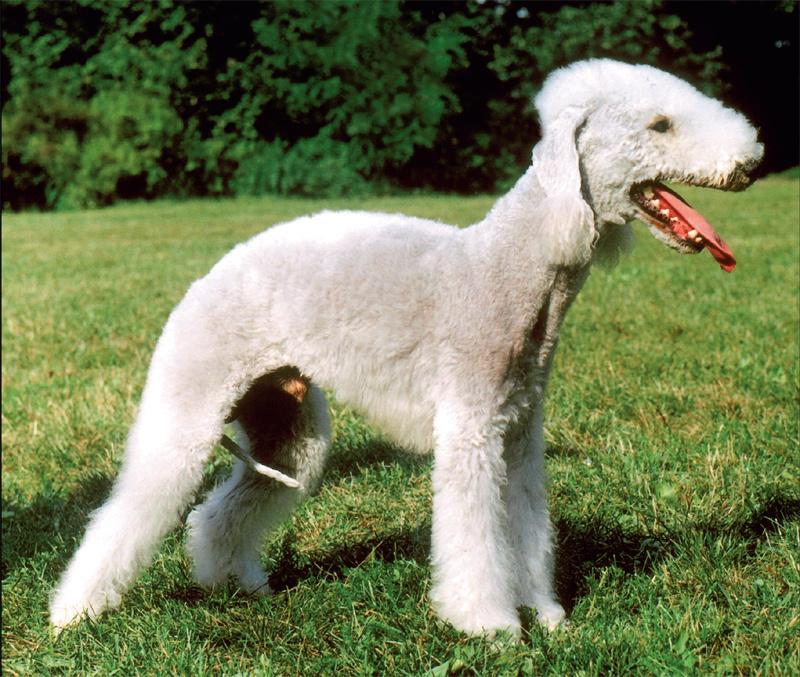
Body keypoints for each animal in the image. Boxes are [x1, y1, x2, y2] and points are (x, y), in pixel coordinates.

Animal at [50, 60, 764, 636]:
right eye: (660, 124)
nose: (752, 163)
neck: (513, 265)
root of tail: (209, 277)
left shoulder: (518, 435)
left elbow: (528, 528)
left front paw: (548, 615)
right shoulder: (471, 432)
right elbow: (475, 538)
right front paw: (491, 626)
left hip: (288, 426)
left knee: (219, 513)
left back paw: (236, 583)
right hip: (189, 403)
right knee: (124, 512)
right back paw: (71, 614)